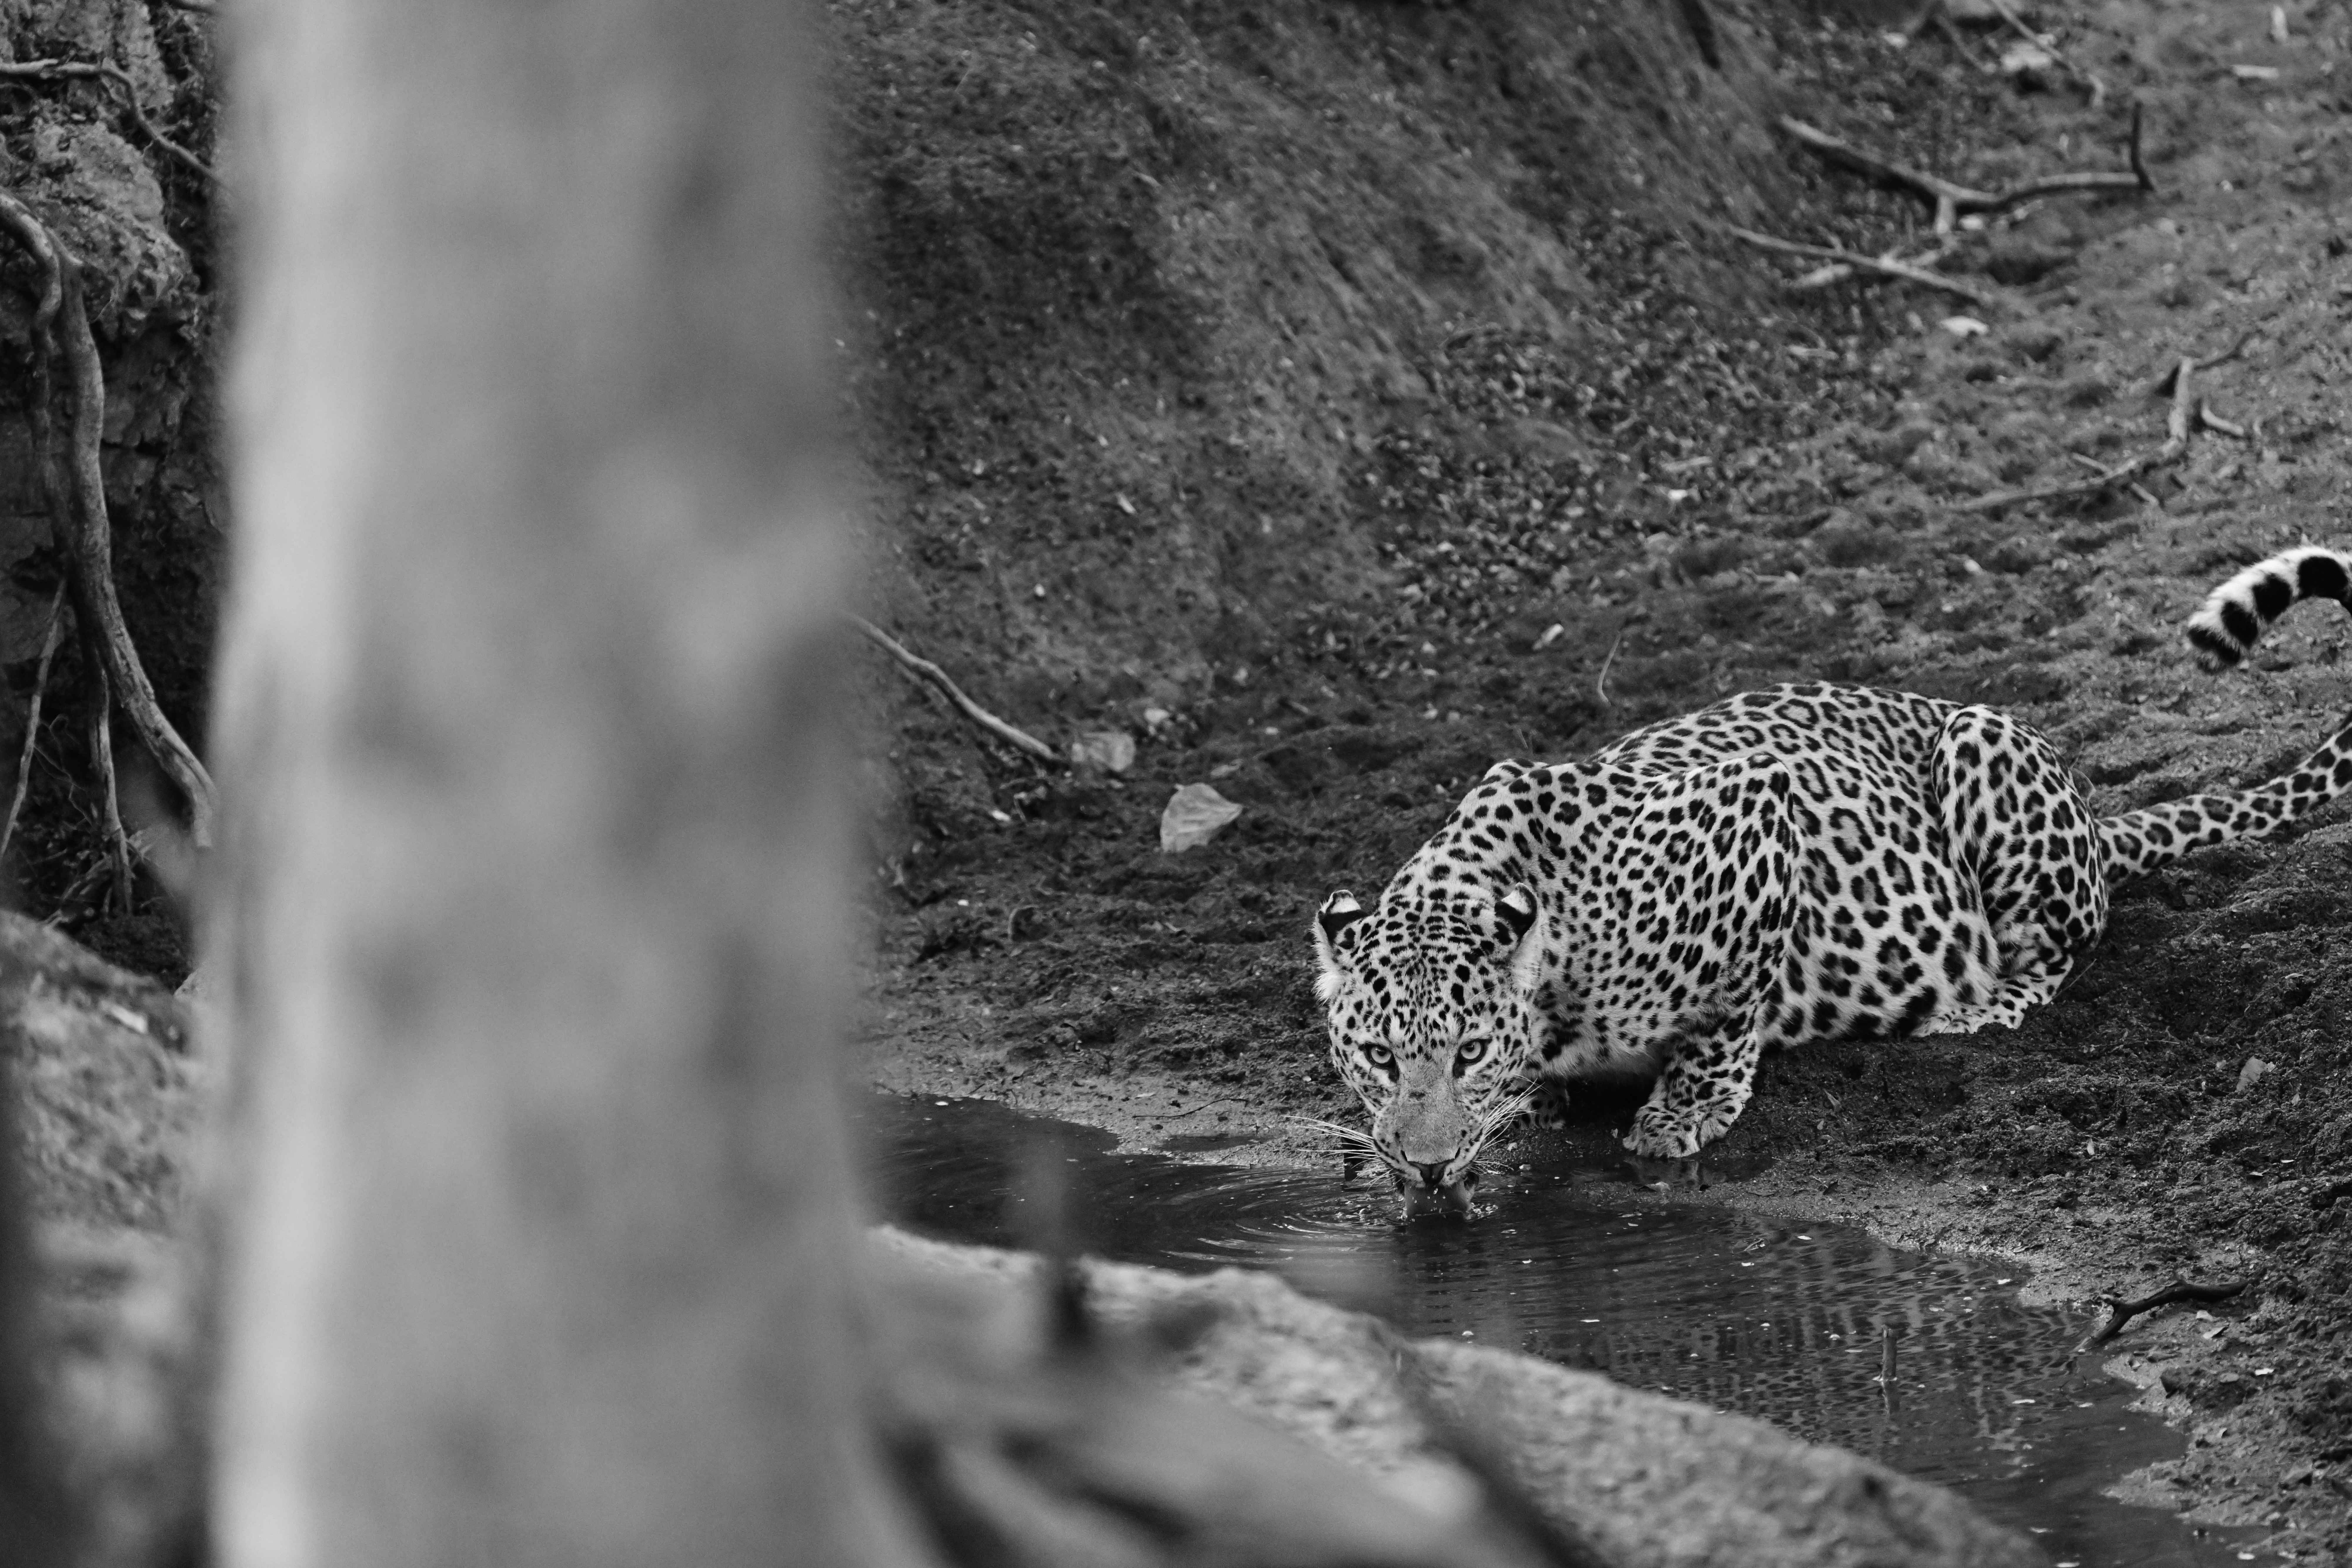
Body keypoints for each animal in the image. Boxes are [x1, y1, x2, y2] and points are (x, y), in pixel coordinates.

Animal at [1311, 544, 2352, 1211]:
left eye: (1468, 1053)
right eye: (1376, 1056)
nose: (1428, 1168)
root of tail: (2100, 826)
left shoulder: (1758, 811)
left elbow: (1731, 1005)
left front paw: (1684, 1108)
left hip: (1985, 744)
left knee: (2057, 952)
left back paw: (1971, 1007)